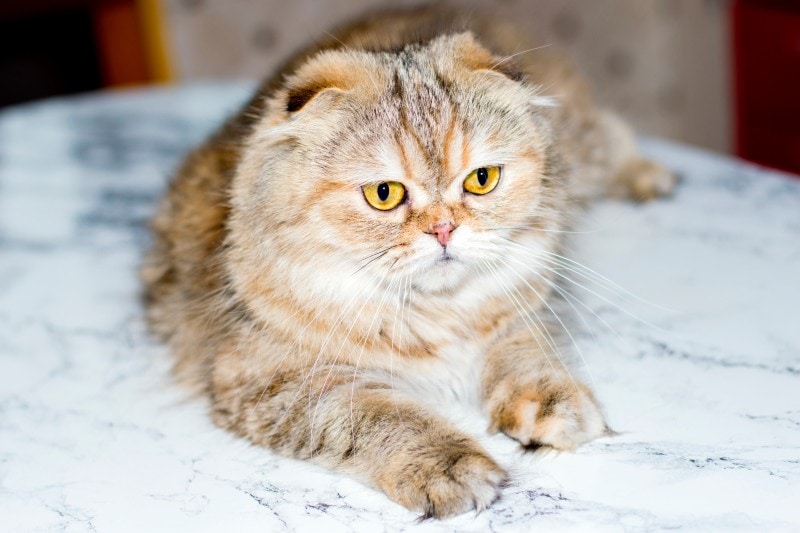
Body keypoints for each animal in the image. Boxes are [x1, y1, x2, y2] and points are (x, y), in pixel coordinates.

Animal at [142, 6, 676, 516]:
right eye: (384, 194)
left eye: (481, 179)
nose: (443, 230)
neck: (434, 313)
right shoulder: (275, 381)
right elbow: (385, 418)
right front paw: (452, 466)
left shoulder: (521, 310)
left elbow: (523, 356)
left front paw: (552, 405)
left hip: (586, 142)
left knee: (614, 136)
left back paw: (652, 179)